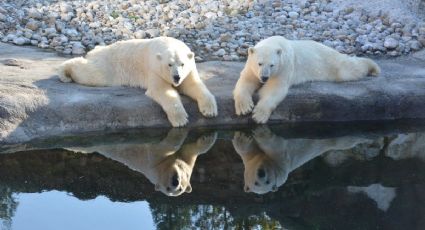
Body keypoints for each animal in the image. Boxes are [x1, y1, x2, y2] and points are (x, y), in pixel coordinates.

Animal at [58, 37, 217, 127]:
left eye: (182, 64)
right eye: (169, 64)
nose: (176, 77)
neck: (169, 44)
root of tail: (96, 50)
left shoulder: (189, 70)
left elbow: (193, 85)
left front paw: (209, 111)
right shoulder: (154, 68)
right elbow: (161, 90)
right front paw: (180, 119)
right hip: (110, 64)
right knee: (92, 74)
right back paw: (64, 72)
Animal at [68, 128, 217, 197]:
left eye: (180, 189)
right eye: (167, 189)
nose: (175, 182)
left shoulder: (186, 162)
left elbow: (191, 151)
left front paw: (208, 137)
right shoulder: (153, 163)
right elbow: (163, 146)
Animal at [232, 126, 372, 194]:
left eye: (267, 182)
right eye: (256, 183)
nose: (262, 173)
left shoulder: (281, 164)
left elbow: (276, 146)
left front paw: (261, 132)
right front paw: (242, 137)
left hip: (330, 140)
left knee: (346, 140)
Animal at [234, 36, 380, 124]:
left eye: (272, 65)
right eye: (259, 63)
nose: (264, 77)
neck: (275, 43)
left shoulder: (284, 67)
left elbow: (274, 89)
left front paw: (258, 115)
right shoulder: (251, 68)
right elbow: (246, 81)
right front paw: (244, 108)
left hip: (331, 63)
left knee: (348, 68)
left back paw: (373, 67)